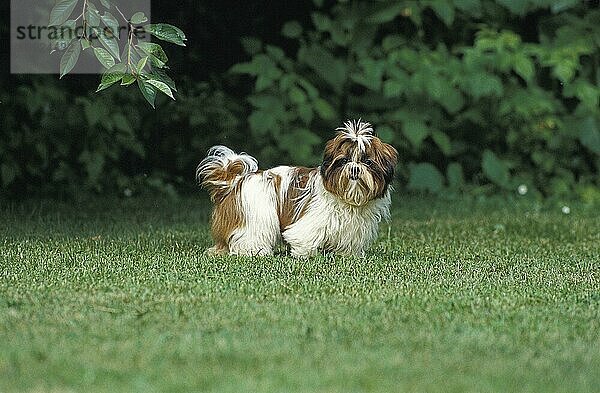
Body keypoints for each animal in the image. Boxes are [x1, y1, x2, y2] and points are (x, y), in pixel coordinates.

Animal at [197, 118, 398, 256]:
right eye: (344, 161)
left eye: (367, 162)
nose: (355, 169)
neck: (347, 199)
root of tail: (235, 181)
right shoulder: (313, 220)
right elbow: (303, 236)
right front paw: (304, 254)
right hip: (255, 216)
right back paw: (254, 251)